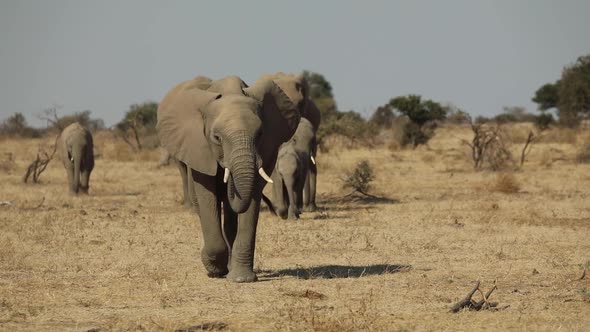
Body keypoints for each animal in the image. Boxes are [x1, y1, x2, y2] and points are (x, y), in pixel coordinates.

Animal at [157, 74, 300, 282]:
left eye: (260, 134)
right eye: (216, 137)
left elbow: (251, 198)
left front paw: (241, 279)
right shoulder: (199, 148)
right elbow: (207, 195)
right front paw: (214, 269)